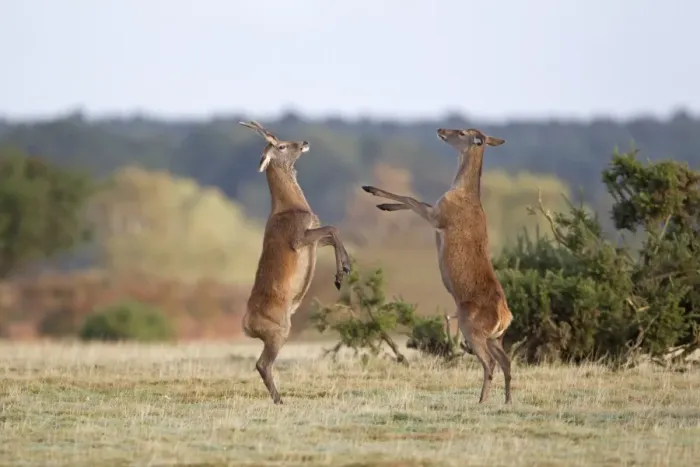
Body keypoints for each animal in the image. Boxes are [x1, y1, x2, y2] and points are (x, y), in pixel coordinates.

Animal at [238, 121, 351, 404]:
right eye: (280, 146)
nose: (304, 142)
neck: (292, 206)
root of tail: (246, 325)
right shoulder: (298, 237)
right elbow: (332, 228)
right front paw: (341, 273)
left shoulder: (312, 240)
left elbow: (333, 234)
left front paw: (344, 269)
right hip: (279, 330)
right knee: (262, 364)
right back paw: (279, 399)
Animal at [361, 128, 512, 404]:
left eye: (462, 131)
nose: (441, 129)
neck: (462, 193)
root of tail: (506, 317)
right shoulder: (436, 211)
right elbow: (417, 200)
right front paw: (384, 205)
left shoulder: (439, 216)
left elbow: (411, 198)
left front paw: (372, 191)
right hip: (497, 336)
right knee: (506, 362)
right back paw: (506, 400)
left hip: (471, 327)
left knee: (489, 363)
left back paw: (481, 400)